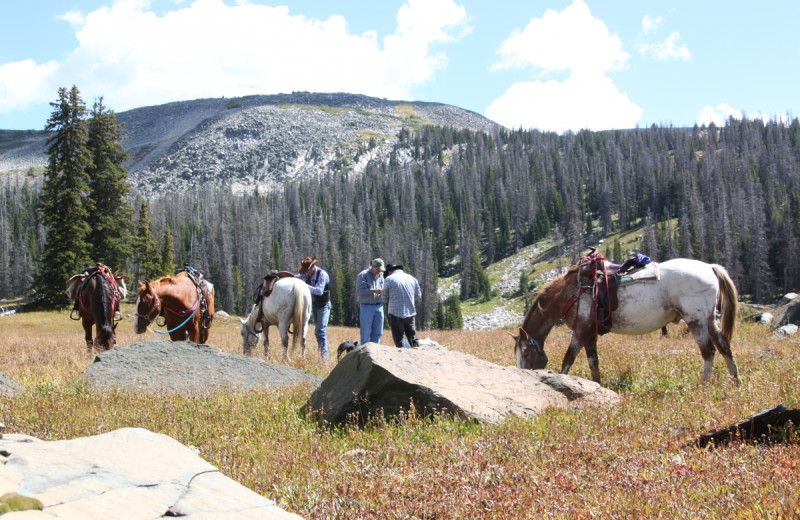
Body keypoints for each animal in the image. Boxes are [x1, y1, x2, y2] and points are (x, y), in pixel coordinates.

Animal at [516, 256, 740, 384]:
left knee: (708, 351)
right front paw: (598, 387)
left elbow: (568, 360)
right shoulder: (590, 334)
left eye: (526, 352)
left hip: (696, 319)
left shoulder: (581, 331)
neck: (572, 291)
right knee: (724, 346)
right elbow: (594, 363)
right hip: (709, 319)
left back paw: (704, 385)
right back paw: (735, 381)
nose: (522, 375)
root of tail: (710, 267)